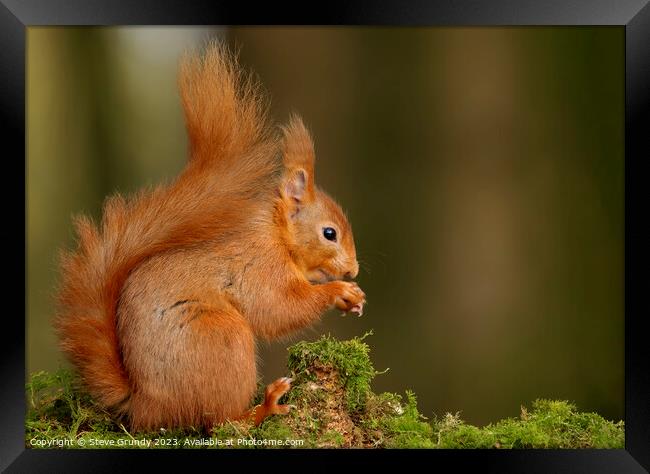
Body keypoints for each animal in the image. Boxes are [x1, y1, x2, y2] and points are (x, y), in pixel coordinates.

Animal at [52, 42, 362, 432]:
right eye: (329, 233)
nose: (353, 270)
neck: (276, 233)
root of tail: (145, 405)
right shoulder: (260, 266)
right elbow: (277, 309)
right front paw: (339, 292)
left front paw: (353, 298)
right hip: (224, 338)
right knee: (221, 421)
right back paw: (263, 408)